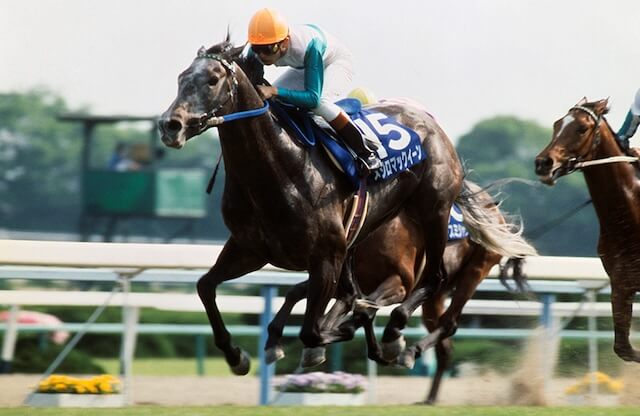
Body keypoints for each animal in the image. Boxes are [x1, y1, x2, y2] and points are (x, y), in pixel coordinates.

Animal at [158, 37, 463, 374]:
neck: (278, 168)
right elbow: (205, 286)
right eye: (181, 78)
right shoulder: (250, 250)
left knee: (434, 278)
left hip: (434, 211)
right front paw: (236, 355)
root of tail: (426, 118)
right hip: (368, 227)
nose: (170, 125)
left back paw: (395, 331)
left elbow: (313, 331)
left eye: (212, 80)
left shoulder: (325, 258)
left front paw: (349, 329)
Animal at [264, 179, 536, 404]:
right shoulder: (349, 279)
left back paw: (409, 353)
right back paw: (429, 396)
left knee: (449, 323)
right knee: (444, 345)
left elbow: (366, 312)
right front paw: (287, 342)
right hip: (436, 296)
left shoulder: (399, 283)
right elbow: (300, 294)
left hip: (475, 272)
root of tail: (495, 213)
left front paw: (380, 345)